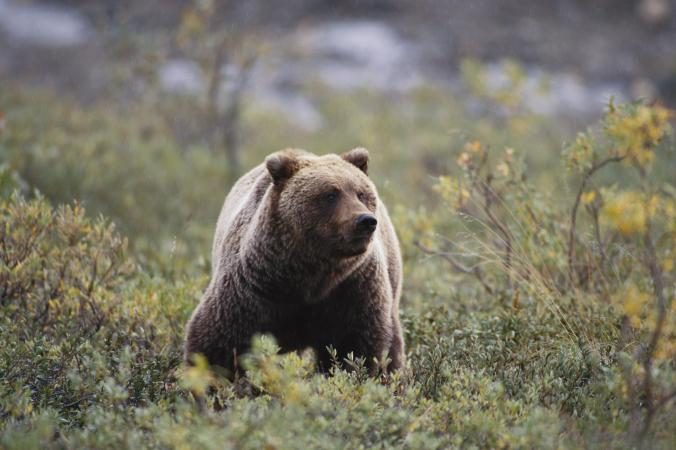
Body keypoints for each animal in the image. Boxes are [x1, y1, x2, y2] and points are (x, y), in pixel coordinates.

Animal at [185, 149, 404, 376]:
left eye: (361, 193)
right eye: (331, 194)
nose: (365, 221)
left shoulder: (352, 287)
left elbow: (354, 346)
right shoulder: (254, 288)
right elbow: (217, 341)